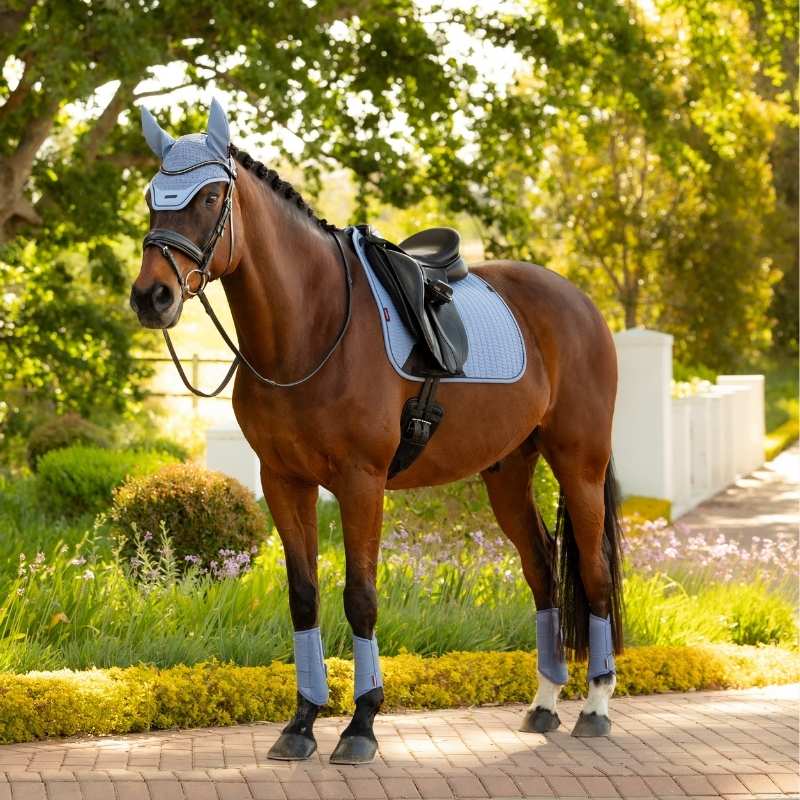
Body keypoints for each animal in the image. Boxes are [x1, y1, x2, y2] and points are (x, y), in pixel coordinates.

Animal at [130, 99, 624, 764]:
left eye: (209, 197)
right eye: (152, 197)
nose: (151, 296)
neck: (311, 329)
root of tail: (580, 303)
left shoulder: (361, 483)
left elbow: (360, 598)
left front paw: (361, 724)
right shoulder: (283, 480)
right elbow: (304, 596)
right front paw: (301, 722)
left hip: (579, 463)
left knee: (592, 574)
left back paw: (595, 707)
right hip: (507, 473)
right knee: (543, 571)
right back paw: (544, 704)